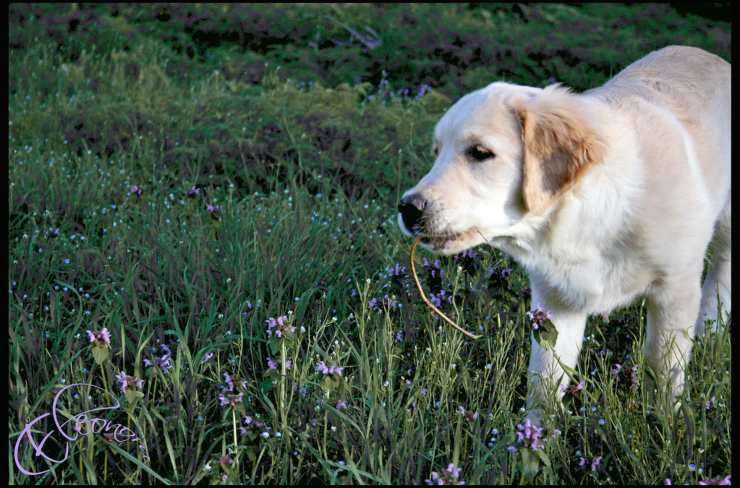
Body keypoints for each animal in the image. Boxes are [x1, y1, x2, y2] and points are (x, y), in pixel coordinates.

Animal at [398, 45, 728, 418]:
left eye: (480, 153)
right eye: (436, 152)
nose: (407, 208)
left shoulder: (676, 289)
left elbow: (663, 370)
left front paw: (664, 424)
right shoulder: (555, 301)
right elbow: (544, 380)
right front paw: (535, 433)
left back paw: (712, 324)